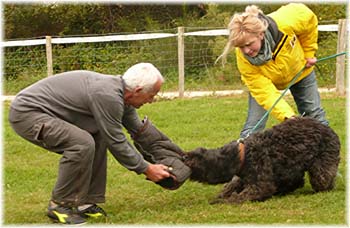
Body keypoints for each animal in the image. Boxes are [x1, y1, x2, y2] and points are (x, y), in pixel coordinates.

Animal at [183, 116, 340, 204]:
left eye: (199, 159)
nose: (184, 156)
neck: (243, 155)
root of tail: (329, 129)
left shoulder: (260, 185)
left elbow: (238, 197)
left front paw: (223, 200)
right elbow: (230, 187)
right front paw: (221, 195)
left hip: (321, 169)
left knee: (323, 179)